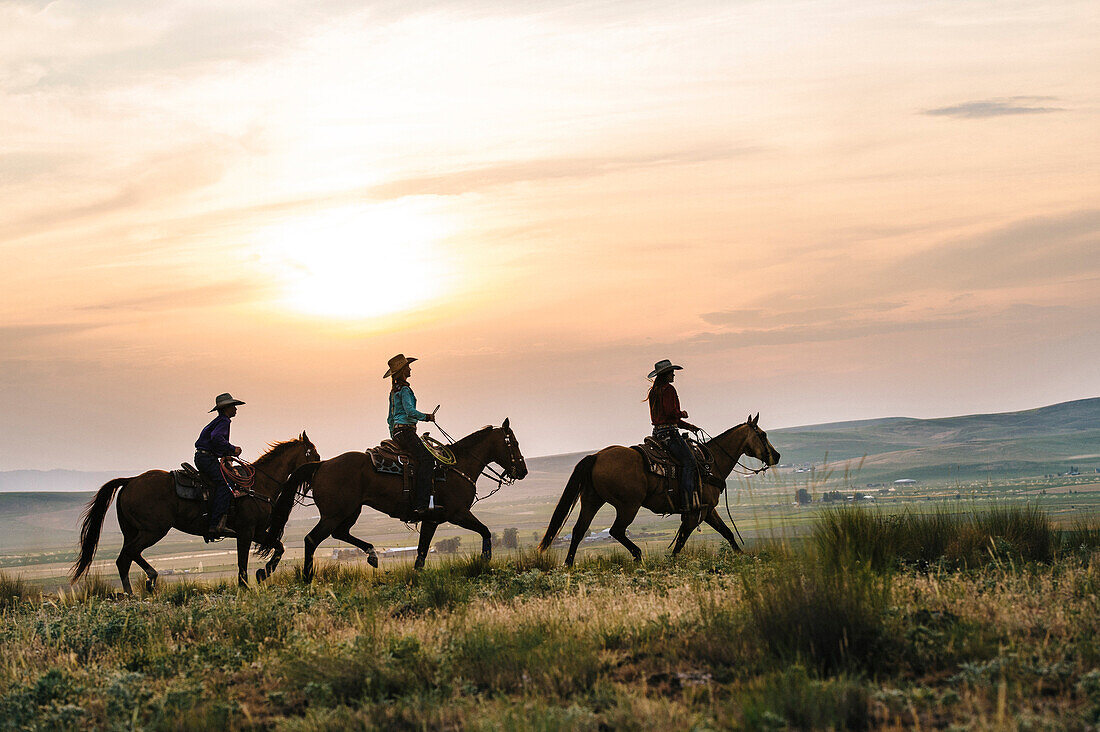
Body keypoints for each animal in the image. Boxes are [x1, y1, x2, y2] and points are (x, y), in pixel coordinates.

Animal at [70, 433, 319, 594]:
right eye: (313, 454)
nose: (318, 469)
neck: (258, 484)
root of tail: (130, 481)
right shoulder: (246, 532)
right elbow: (242, 561)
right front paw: (246, 584)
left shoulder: (257, 531)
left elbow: (279, 547)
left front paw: (262, 573)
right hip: (153, 530)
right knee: (127, 556)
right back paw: (142, 585)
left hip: (133, 531)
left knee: (126, 557)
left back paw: (143, 585)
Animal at [261, 416, 528, 576]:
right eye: (513, 443)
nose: (523, 471)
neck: (457, 466)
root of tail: (322, 464)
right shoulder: (458, 513)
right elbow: (485, 531)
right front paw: (485, 560)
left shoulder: (432, 519)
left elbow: (422, 552)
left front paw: (417, 574)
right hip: (334, 514)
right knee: (311, 539)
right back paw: (307, 576)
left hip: (350, 511)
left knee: (340, 534)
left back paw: (372, 555)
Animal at [536, 411, 778, 563]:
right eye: (763, 434)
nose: (776, 455)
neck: (711, 463)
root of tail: (596, 456)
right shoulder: (695, 512)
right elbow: (681, 539)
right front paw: (671, 561)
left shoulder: (707, 509)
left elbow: (726, 532)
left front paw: (741, 555)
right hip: (628, 505)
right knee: (616, 530)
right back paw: (637, 554)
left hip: (592, 500)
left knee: (579, 530)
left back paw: (568, 565)